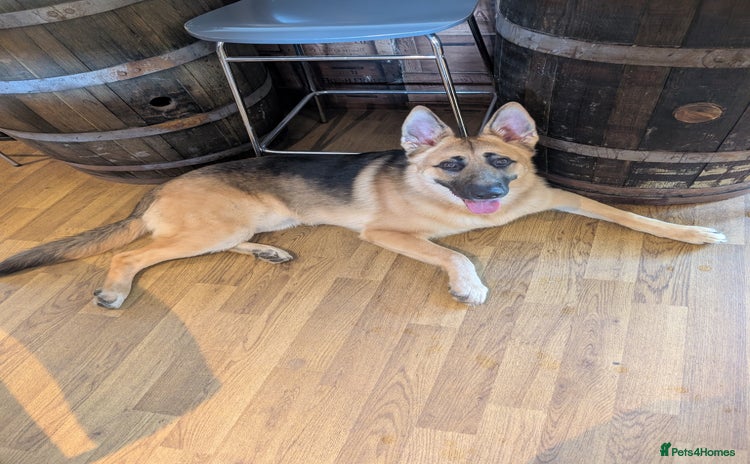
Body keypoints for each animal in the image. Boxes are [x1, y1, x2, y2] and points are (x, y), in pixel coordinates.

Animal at [0, 103, 726, 308]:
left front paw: (689, 234)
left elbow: (625, 213)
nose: (491, 199)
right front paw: (468, 282)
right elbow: (453, 253)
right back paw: (114, 288)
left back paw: (266, 252)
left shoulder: (559, 197)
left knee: (174, 245)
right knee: (132, 252)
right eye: (450, 166)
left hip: (249, 221)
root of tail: (160, 187)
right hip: (213, 225)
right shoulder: (388, 235)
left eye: (501, 163)